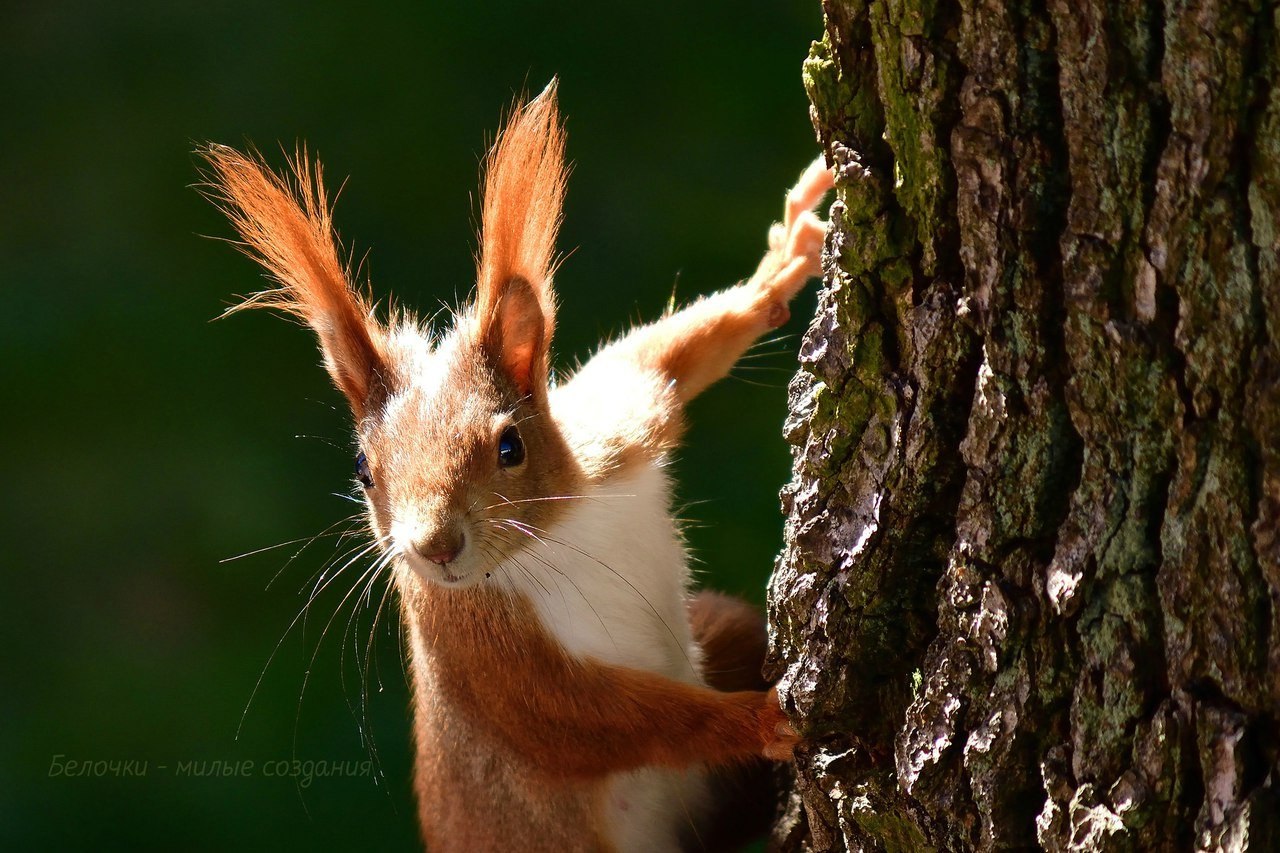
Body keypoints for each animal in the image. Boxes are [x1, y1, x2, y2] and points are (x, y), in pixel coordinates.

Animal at [202, 78, 829, 845]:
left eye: (510, 446)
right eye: (362, 470)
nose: (435, 548)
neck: (551, 535)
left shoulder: (617, 424)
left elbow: (672, 353)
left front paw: (781, 262)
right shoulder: (483, 659)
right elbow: (597, 721)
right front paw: (764, 719)